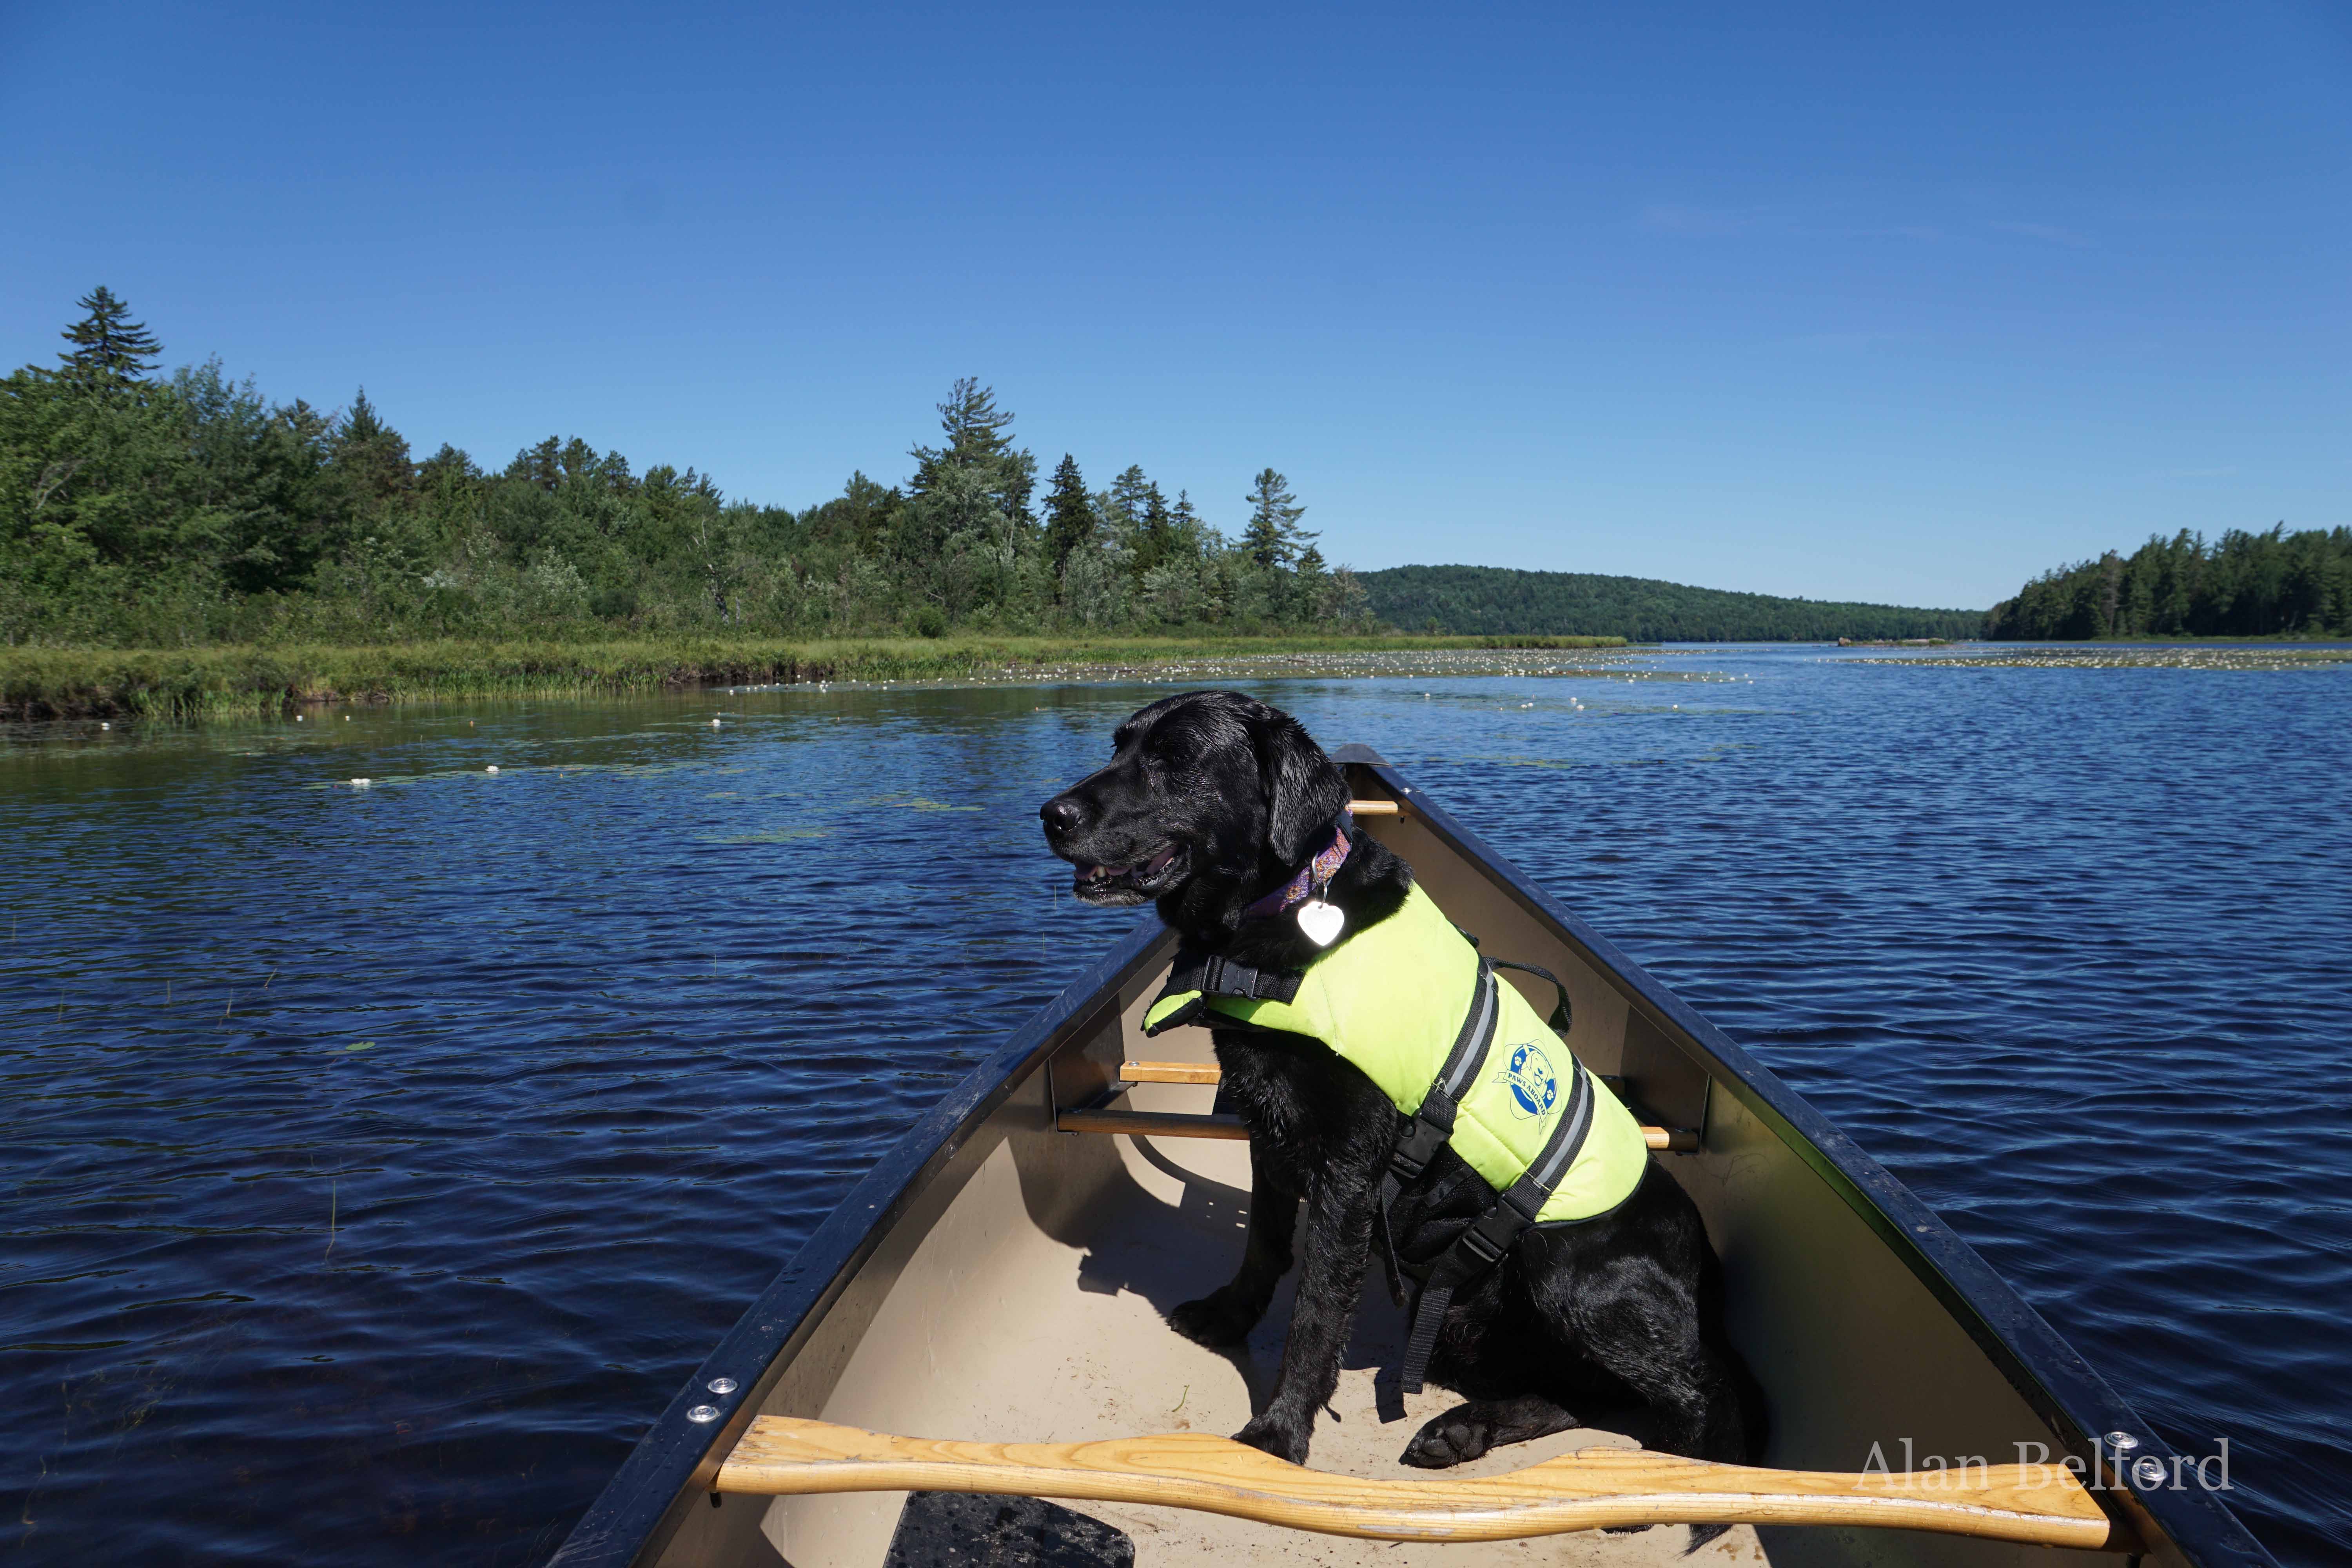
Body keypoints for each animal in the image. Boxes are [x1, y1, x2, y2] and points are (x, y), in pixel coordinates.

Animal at [1040, 691, 1759, 1514]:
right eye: (1119, 746)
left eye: (1177, 758)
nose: (1052, 814)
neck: (1285, 918)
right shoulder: (1268, 1131)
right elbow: (1264, 1246)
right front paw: (1229, 1316)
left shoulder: (1350, 1173)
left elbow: (1316, 1314)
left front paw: (1279, 1437)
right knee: (1587, 1394)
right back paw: (1464, 1429)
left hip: (1563, 1266)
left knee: (1690, 1391)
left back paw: (1675, 1485)